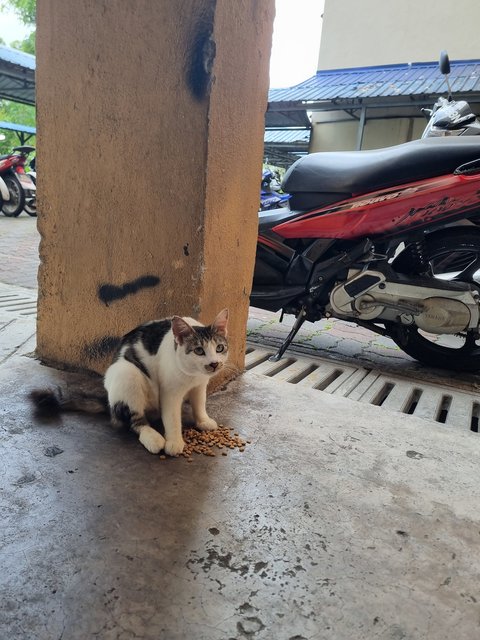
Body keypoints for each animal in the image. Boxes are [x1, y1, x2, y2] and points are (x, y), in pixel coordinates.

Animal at [31, 308, 230, 456]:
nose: (214, 364)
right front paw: (174, 442)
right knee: (134, 421)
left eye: (220, 348)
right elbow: (172, 418)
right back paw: (153, 438)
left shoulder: (200, 385)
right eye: (199, 350)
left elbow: (199, 403)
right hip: (127, 374)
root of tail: (109, 402)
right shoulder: (170, 391)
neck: (192, 375)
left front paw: (203, 420)